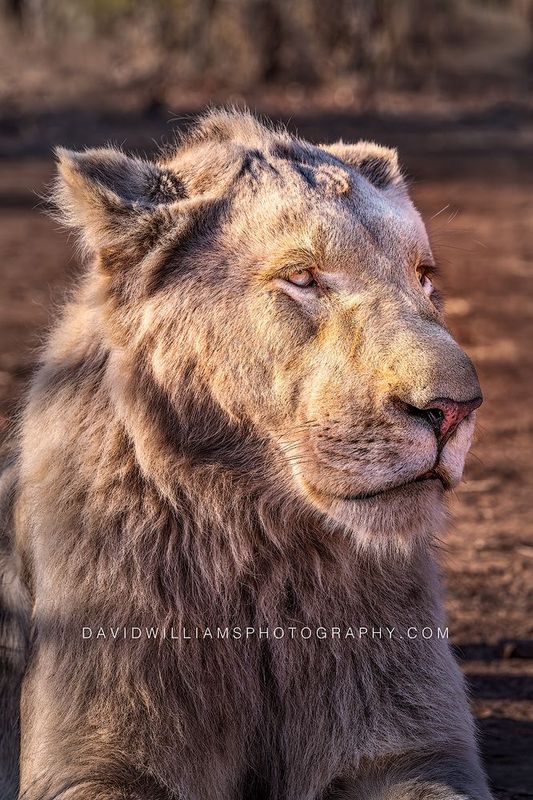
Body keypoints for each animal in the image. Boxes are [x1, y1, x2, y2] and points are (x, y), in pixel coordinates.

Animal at [0, 109, 492, 800]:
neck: (259, 540)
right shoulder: (92, 758)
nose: (453, 409)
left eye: (423, 277)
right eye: (301, 277)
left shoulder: (413, 753)